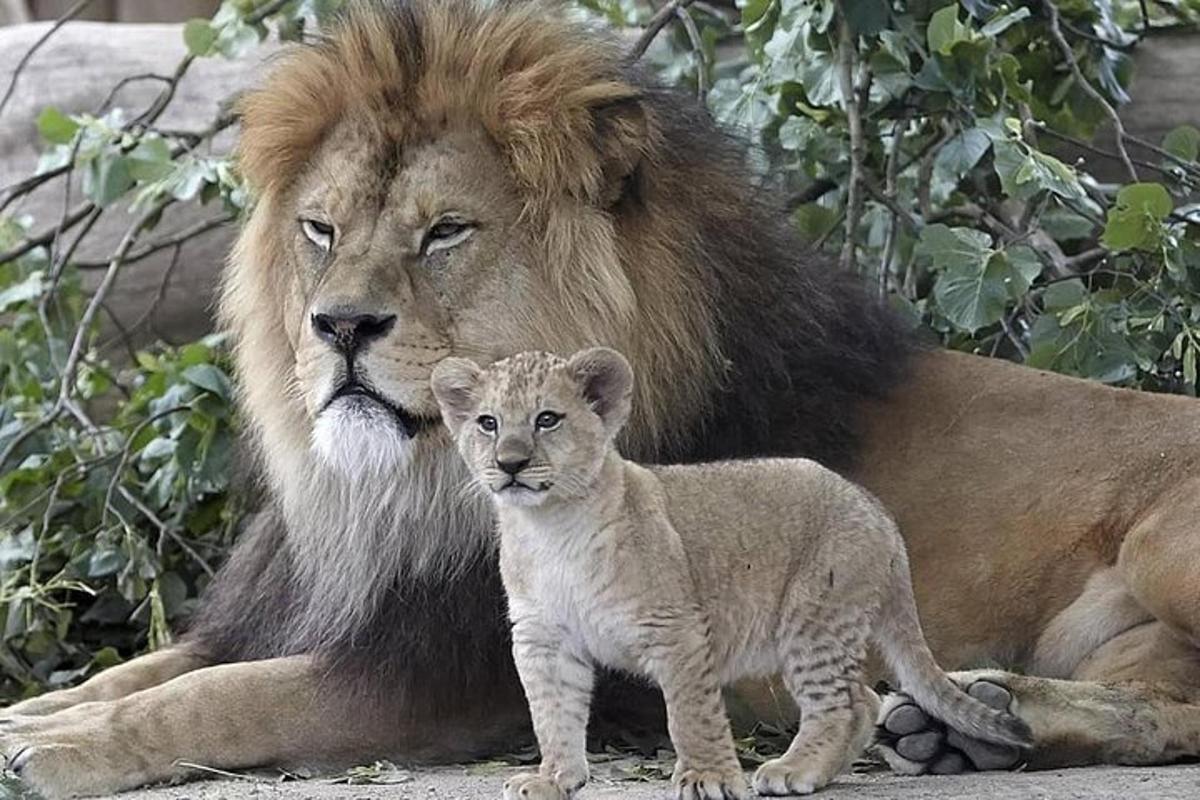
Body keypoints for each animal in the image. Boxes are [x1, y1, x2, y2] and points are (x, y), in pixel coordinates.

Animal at [2, 1, 1200, 796]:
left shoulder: (441, 676)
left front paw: (57, 751)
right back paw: (973, 721)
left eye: (446, 232)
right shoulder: (305, 613)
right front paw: (34, 711)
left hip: (1165, 544)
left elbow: (212, 696)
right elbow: (142, 666)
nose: (337, 326)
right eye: (321, 229)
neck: (392, 491)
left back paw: (978, 713)